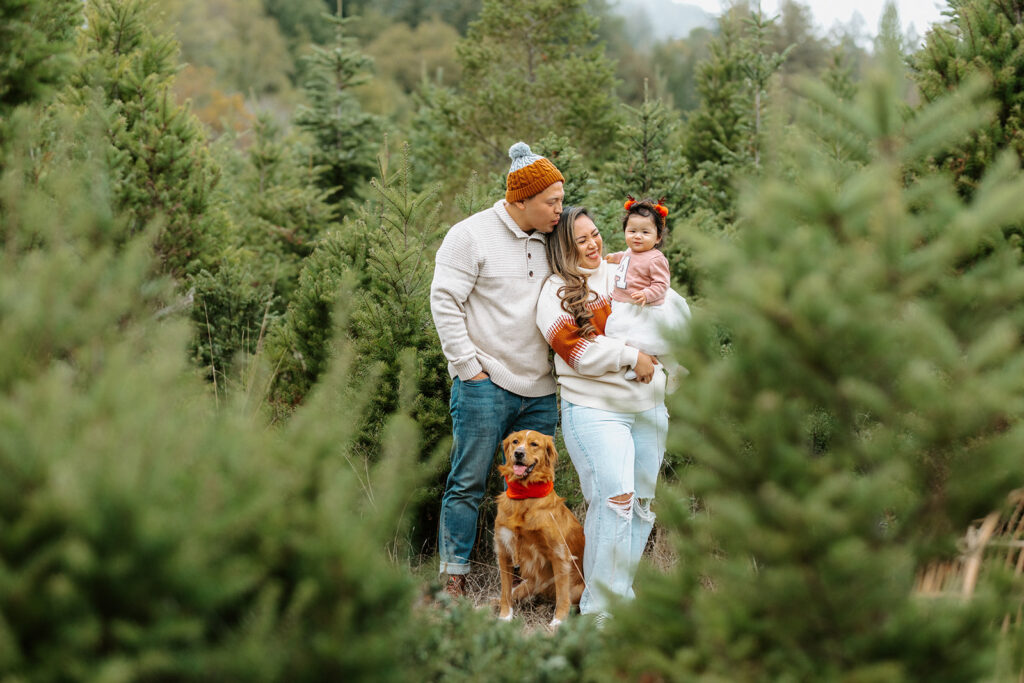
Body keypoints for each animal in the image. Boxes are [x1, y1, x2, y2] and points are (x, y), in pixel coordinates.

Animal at [493, 430, 585, 626]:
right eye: (515, 441)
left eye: (534, 444)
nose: (518, 453)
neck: (524, 496)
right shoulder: (504, 550)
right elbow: (505, 593)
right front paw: (505, 618)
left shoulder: (559, 555)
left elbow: (562, 597)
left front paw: (557, 623)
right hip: (526, 584)